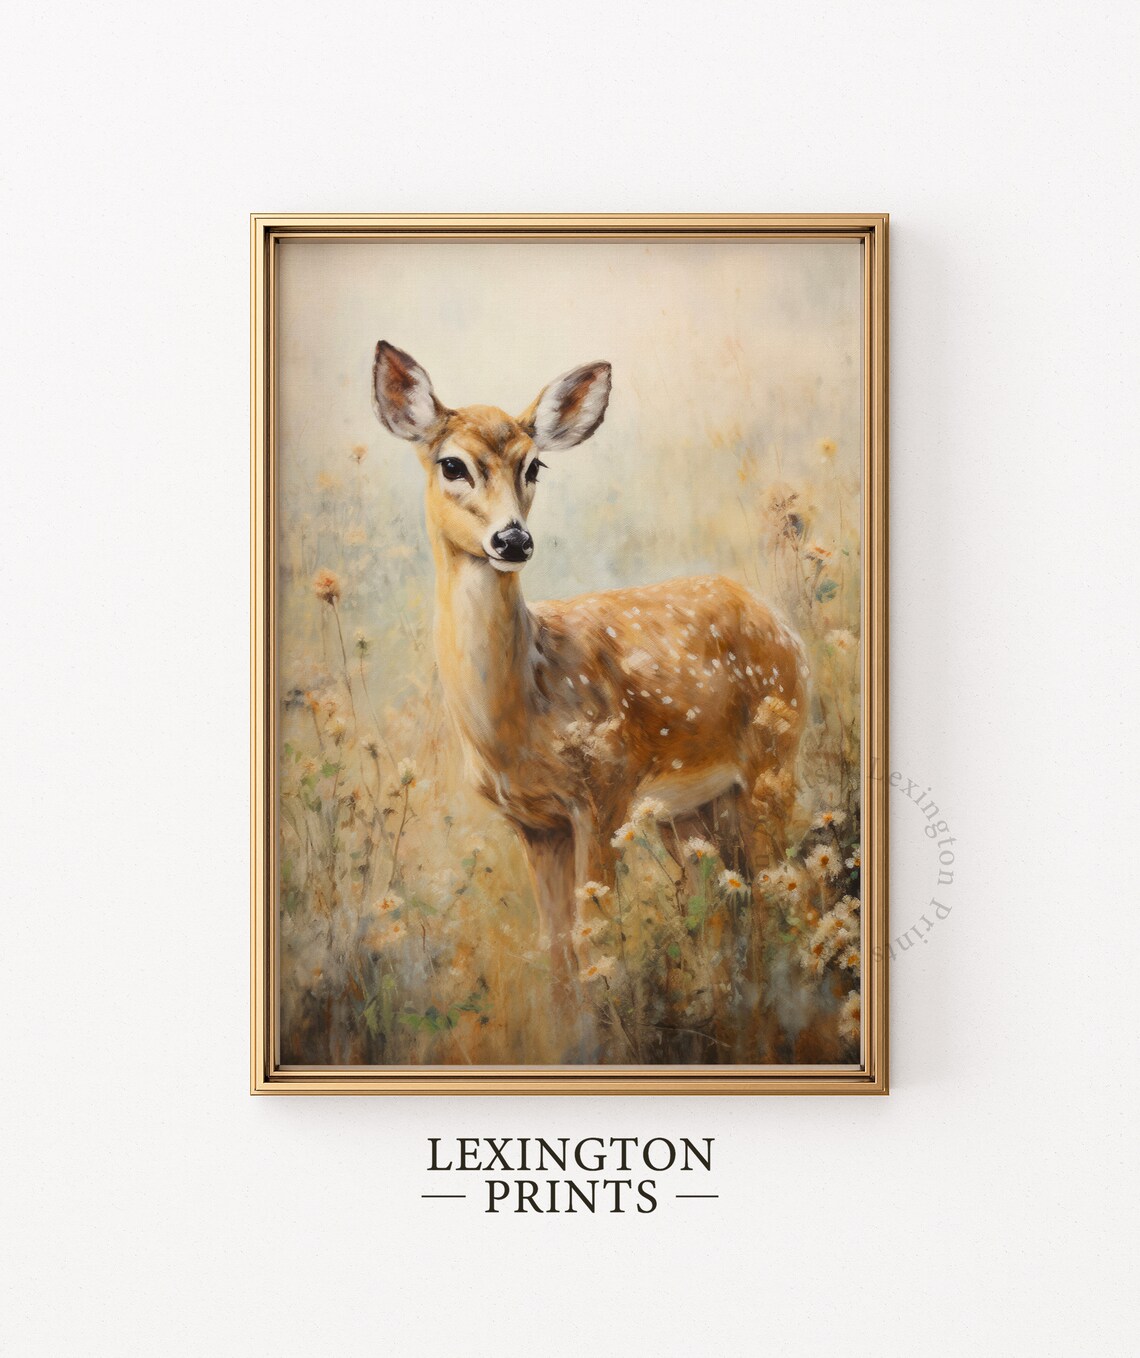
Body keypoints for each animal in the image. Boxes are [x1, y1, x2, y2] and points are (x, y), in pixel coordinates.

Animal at [371, 342, 808, 987]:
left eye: (534, 467)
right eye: (452, 465)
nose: (513, 540)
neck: (515, 718)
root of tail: (780, 624)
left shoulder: (604, 791)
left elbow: (597, 938)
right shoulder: (535, 823)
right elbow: (558, 953)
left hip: (771, 760)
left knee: (784, 885)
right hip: (690, 809)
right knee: (727, 900)